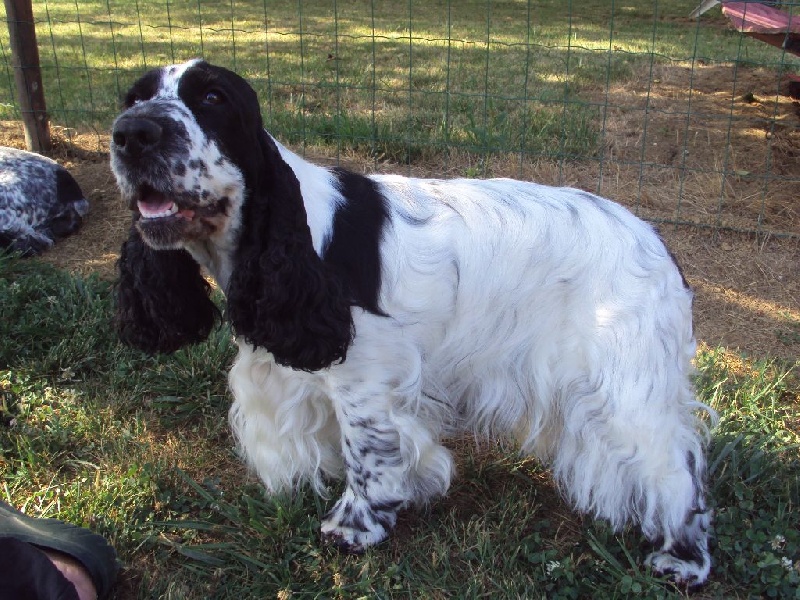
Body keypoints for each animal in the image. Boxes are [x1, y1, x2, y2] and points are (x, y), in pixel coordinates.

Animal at [109, 59, 716, 584]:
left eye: (213, 98)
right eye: (133, 98)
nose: (132, 134)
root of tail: (656, 243)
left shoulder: (366, 381)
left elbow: (367, 456)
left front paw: (354, 527)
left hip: (626, 389)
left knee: (678, 469)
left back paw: (683, 561)